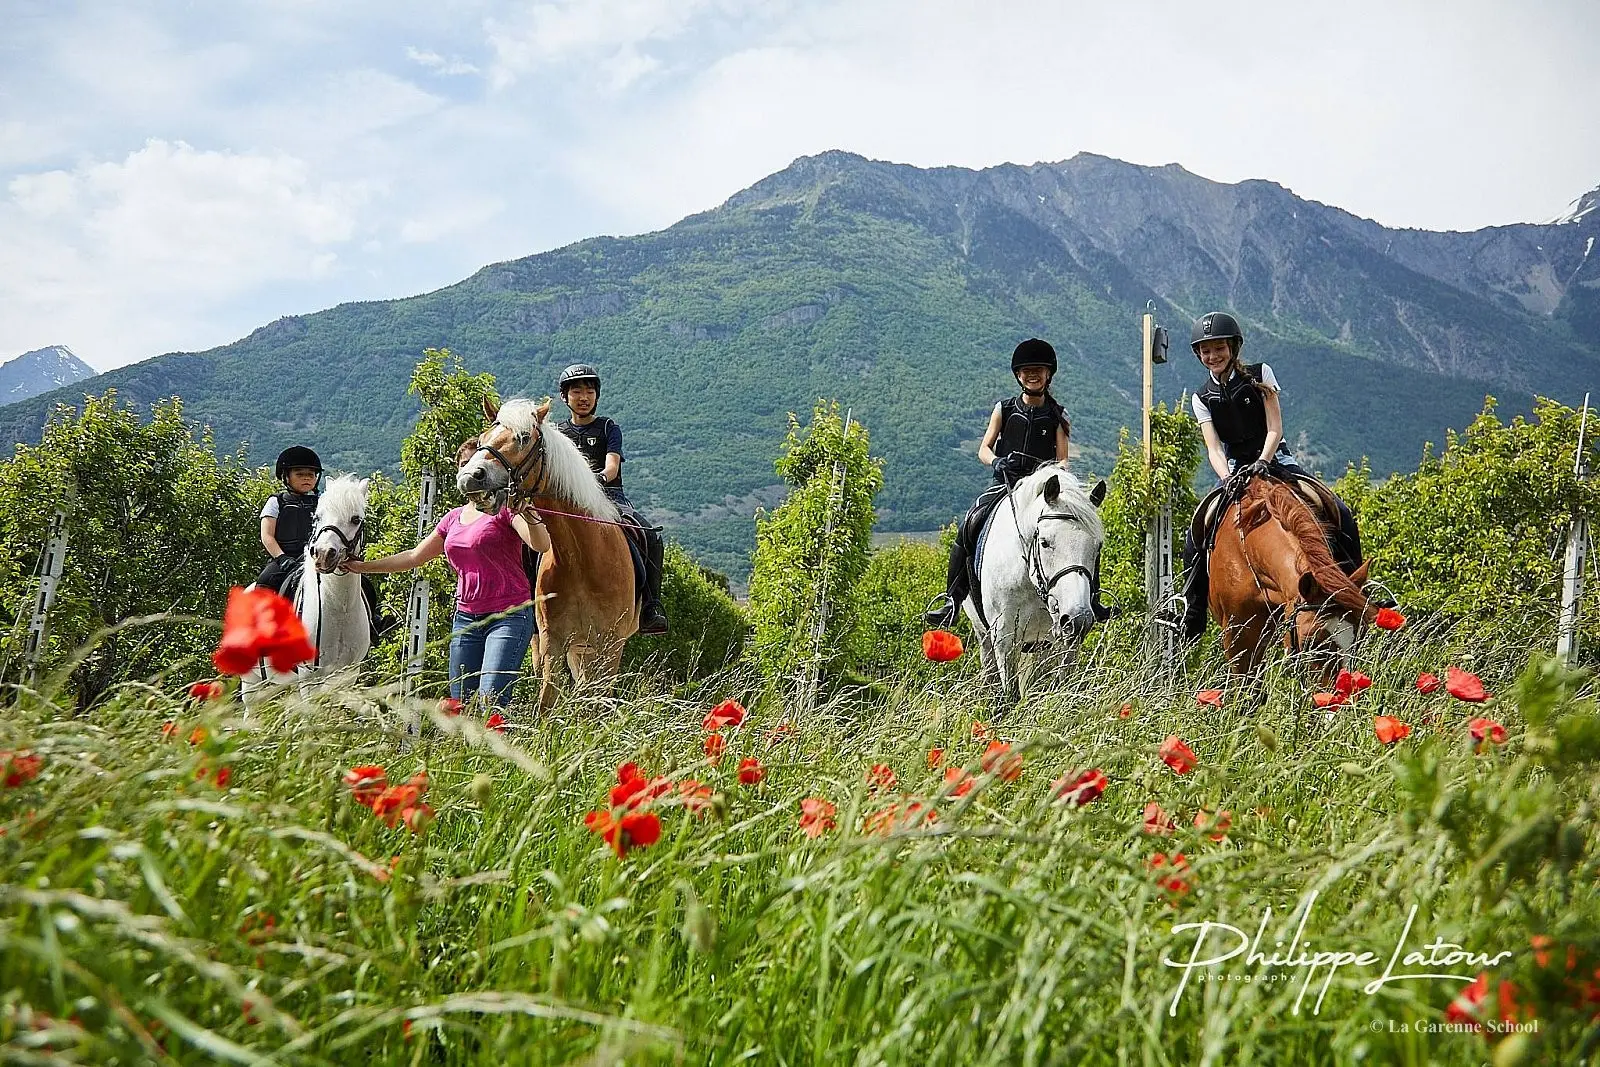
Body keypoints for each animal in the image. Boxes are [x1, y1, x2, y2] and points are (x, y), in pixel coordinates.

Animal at [241, 476, 372, 700]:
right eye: (317, 517)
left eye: (356, 519)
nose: (324, 554)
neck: (339, 609)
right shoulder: (308, 676)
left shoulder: (348, 674)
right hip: (252, 682)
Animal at [457, 396, 636, 713]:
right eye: (482, 439)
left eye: (523, 438)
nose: (470, 478)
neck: (583, 560)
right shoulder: (552, 643)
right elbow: (546, 705)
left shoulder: (612, 646)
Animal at [953, 463, 1107, 700]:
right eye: (1044, 542)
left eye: (1097, 546)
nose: (1077, 619)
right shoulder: (1004, 637)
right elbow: (1010, 694)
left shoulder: (1063, 641)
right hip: (985, 635)